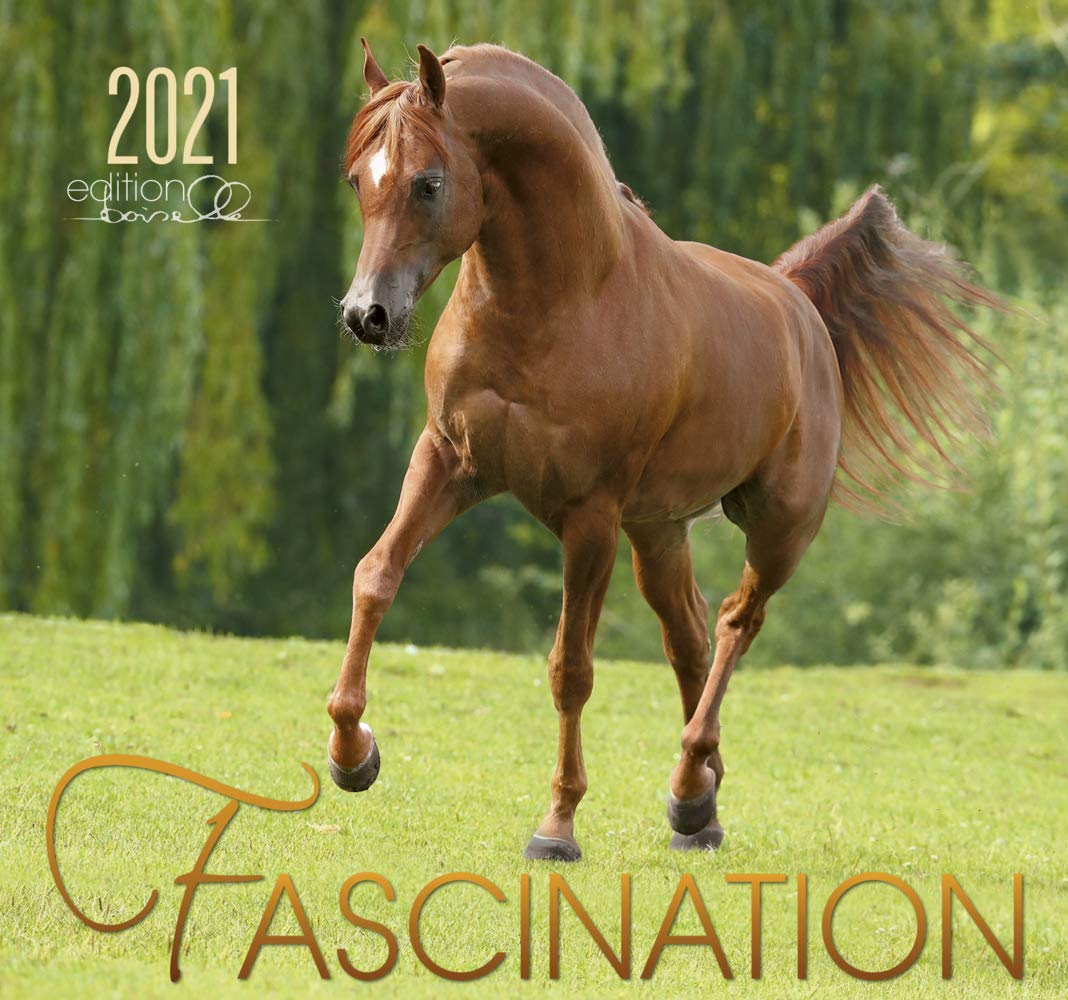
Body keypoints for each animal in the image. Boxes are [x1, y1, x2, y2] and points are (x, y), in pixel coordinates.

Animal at [326, 39, 1000, 860]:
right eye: (358, 179)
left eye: (428, 182)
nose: (367, 314)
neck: (561, 301)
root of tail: (798, 303)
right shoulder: (447, 462)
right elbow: (376, 577)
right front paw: (352, 752)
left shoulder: (589, 517)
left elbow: (572, 667)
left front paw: (557, 826)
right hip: (658, 531)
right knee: (689, 636)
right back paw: (700, 803)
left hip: (778, 530)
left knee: (736, 622)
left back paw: (688, 785)